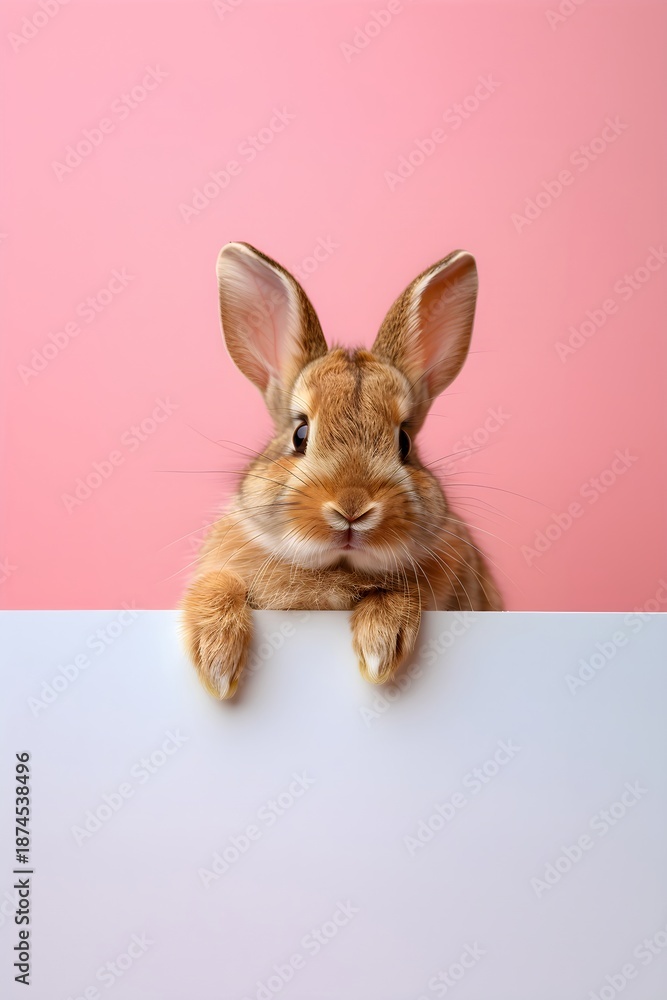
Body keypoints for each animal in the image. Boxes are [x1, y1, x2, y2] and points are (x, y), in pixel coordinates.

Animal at [181, 242, 503, 699]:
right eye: (299, 434)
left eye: (405, 442)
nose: (352, 507)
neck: (337, 569)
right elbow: (218, 584)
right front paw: (218, 666)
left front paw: (379, 649)